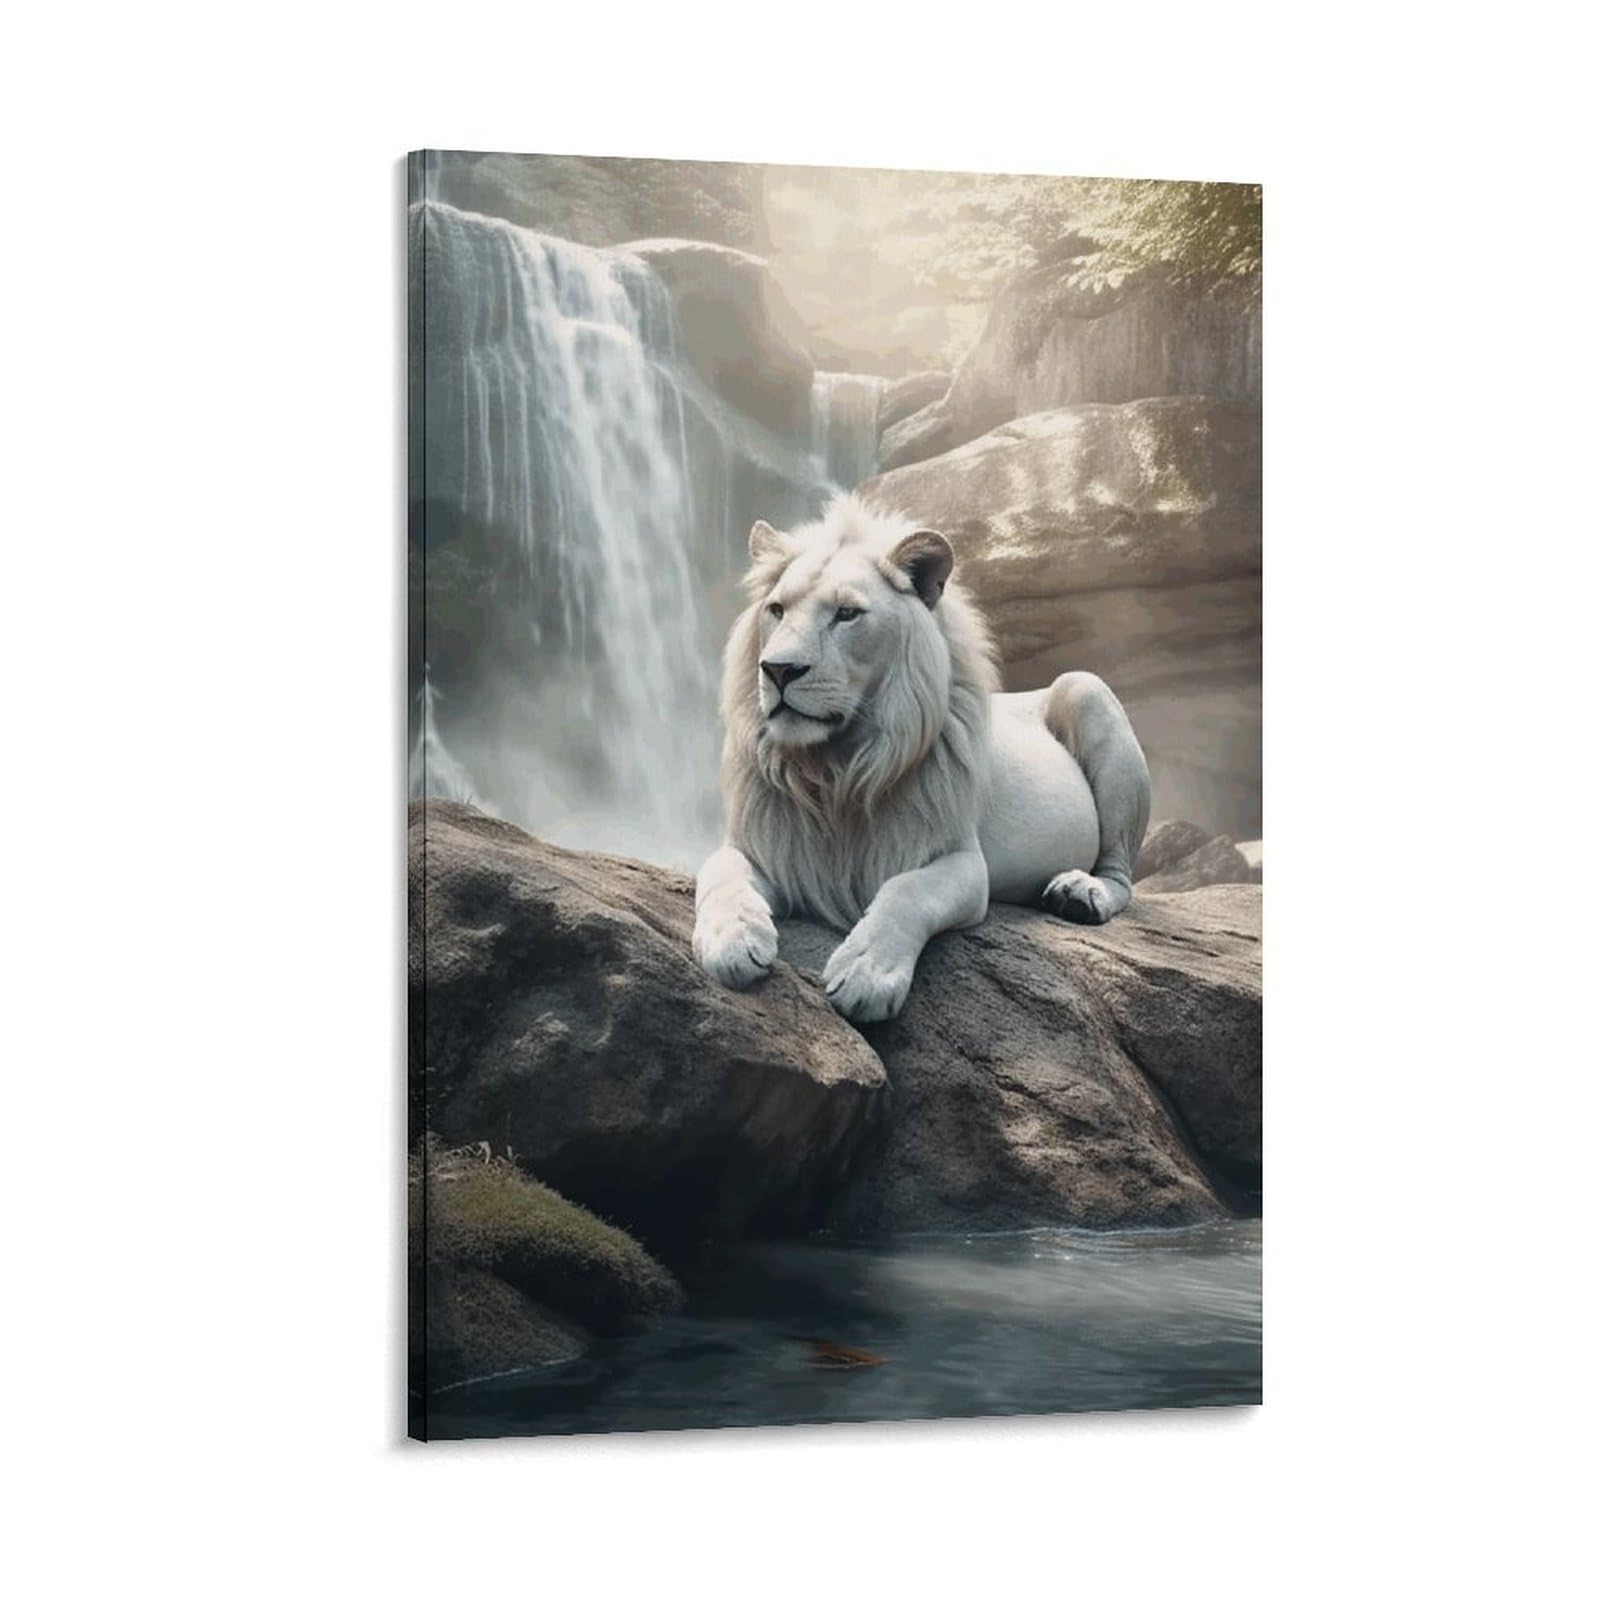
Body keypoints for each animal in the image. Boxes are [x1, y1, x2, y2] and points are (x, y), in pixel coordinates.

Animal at [692, 495, 1151, 1023]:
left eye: (846, 614)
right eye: (777, 609)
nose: (778, 669)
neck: (835, 770)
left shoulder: (962, 861)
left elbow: (907, 892)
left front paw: (866, 974)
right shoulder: (759, 845)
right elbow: (718, 874)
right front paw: (732, 941)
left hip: (1088, 689)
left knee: (1121, 875)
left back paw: (1080, 893)